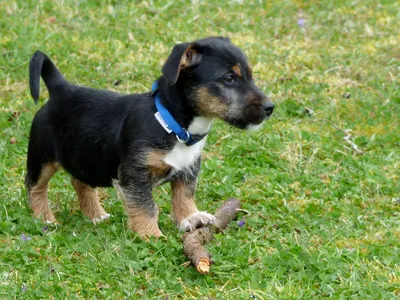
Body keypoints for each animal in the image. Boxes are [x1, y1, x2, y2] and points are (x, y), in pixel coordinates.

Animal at [25, 36, 276, 238]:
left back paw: (96, 215)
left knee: (79, 181)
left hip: (85, 155)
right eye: (229, 79)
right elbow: (147, 206)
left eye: (250, 76)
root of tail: (61, 89)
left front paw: (191, 217)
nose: (270, 107)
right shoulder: (135, 175)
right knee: (34, 187)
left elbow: (184, 196)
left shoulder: (189, 169)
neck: (171, 125)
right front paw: (151, 235)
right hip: (42, 157)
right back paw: (45, 220)